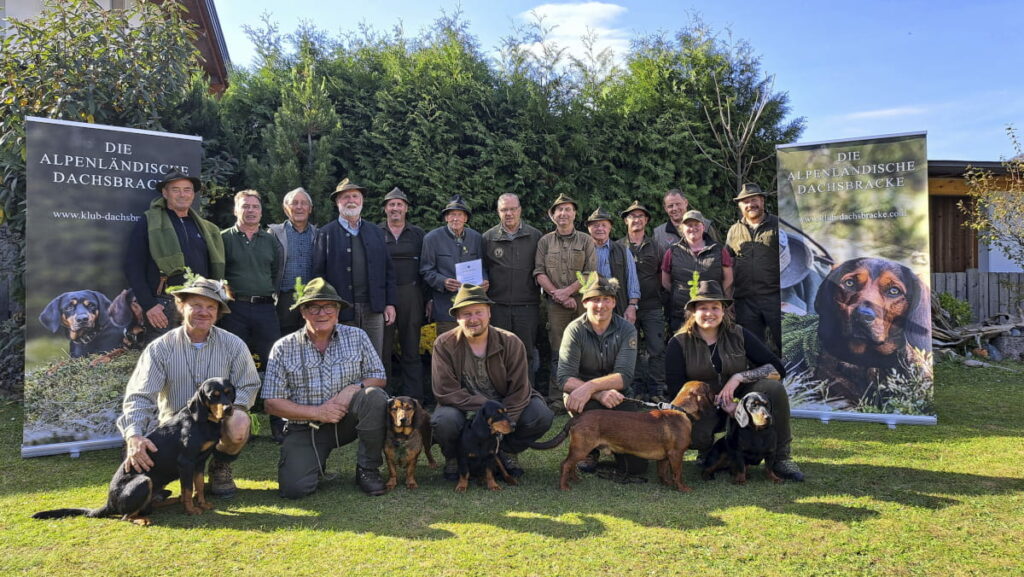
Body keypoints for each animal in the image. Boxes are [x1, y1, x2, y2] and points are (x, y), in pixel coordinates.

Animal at [32, 377, 235, 524]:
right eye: (213, 395)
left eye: (228, 392)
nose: (228, 409)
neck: (204, 421)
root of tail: (109, 504)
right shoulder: (186, 462)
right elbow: (187, 489)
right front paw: (191, 509)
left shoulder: (200, 462)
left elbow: (198, 485)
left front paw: (202, 503)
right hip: (143, 481)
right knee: (126, 516)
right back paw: (142, 519)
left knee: (152, 504)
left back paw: (170, 501)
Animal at [528, 383, 712, 491]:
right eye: (710, 387)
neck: (681, 410)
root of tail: (578, 417)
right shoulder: (676, 454)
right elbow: (678, 474)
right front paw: (683, 488)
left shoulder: (665, 457)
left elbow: (663, 473)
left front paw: (666, 484)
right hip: (582, 448)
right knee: (565, 464)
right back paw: (564, 487)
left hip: (579, 449)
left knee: (570, 465)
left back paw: (575, 480)